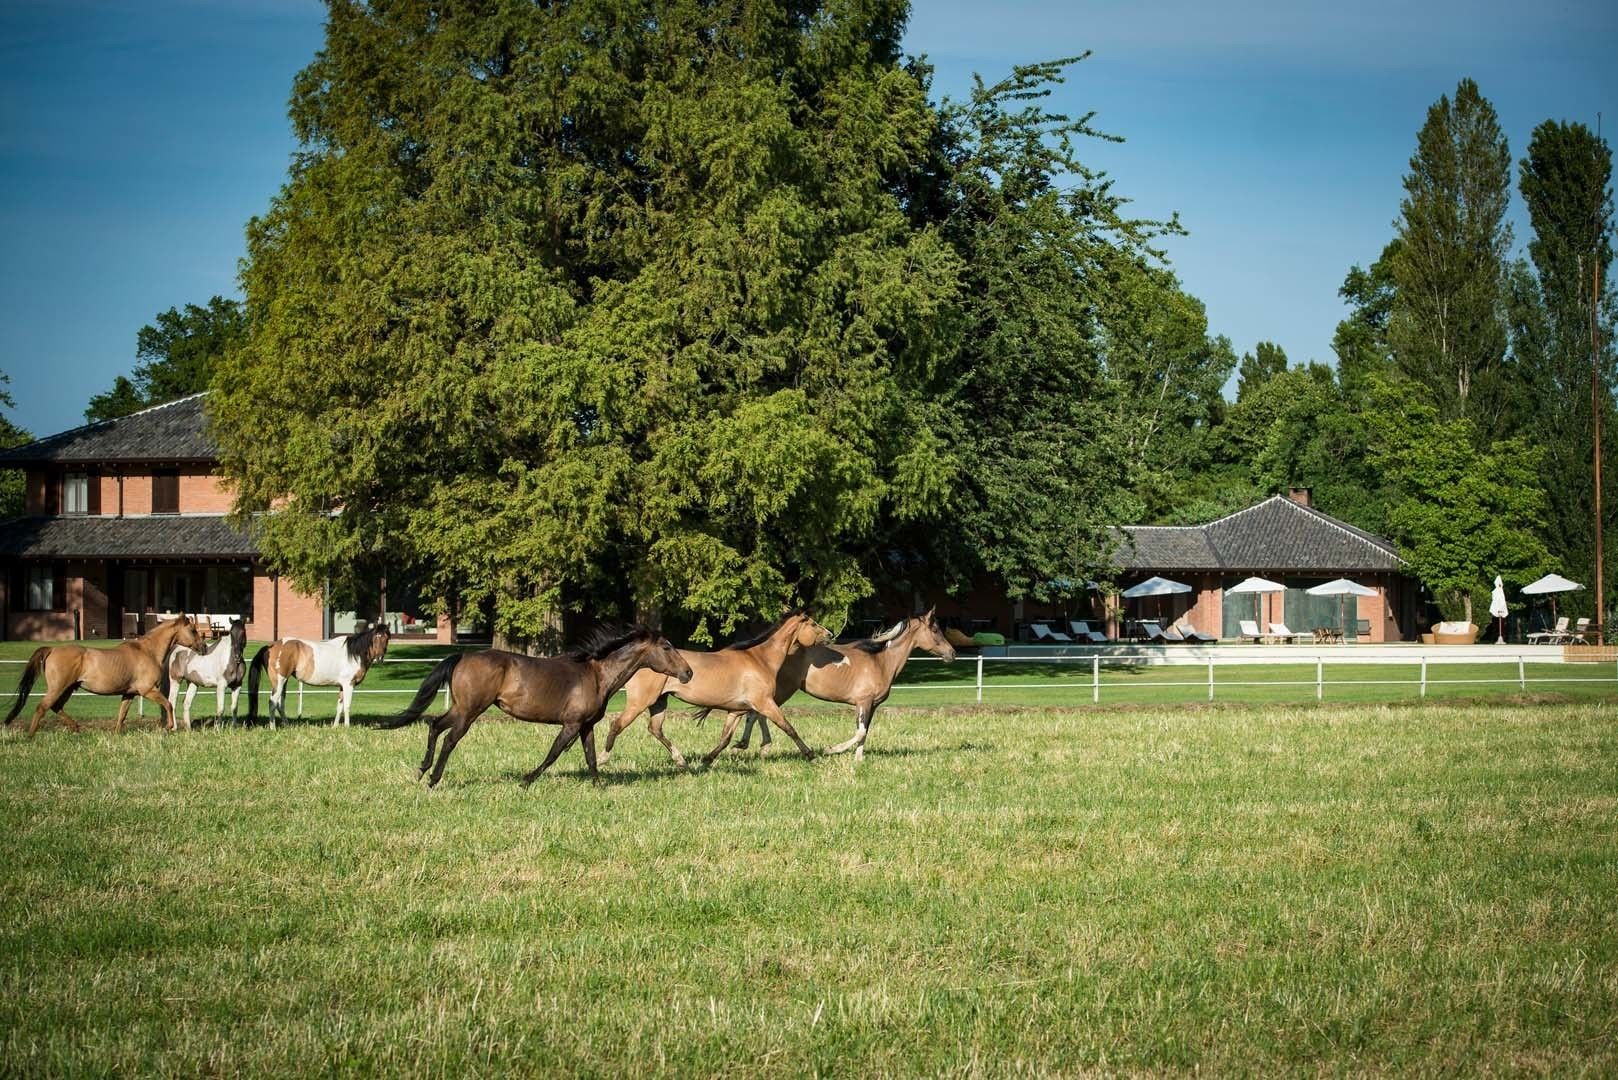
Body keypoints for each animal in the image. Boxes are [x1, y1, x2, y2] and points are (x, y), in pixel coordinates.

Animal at [5, 614, 205, 735]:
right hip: (58, 687)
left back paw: (76, 728)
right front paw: (170, 727)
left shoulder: (129, 693)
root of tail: (52, 649)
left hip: (68, 688)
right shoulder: (147, 690)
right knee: (42, 707)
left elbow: (122, 715)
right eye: (193, 630)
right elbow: (168, 704)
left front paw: (116, 734)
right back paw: (30, 735)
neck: (147, 651)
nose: (203, 647)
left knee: (55, 707)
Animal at [246, 624, 391, 727]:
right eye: (376, 637)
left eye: (387, 638)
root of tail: (270, 646)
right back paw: (273, 728)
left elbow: (339, 706)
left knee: (280, 704)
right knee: (272, 702)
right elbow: (347, 706)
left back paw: (287, 726)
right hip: (279, 681)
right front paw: (347, 727)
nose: (379, 658)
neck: (353, 653)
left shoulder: (342, 686)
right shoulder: (349, 684)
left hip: (284, 682)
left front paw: (335, 727)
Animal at [379, 626, 693, 787]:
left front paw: (598, 785)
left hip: (460, 709)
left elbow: (591, 758)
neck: (596, 675)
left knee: (434, 726)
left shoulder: (586, 726)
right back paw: (433, 779)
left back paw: (421, 771)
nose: (688, 673)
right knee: (449, 740)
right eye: (667, 647)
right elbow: (553, 754)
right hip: (469, 712)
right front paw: (526, 780)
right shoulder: (571, 725)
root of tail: (463, 657)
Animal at [598, 610, 833, 769]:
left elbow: (725, 738)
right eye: (813, 624)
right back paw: (602, 758)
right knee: (616, 725)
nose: (831, 634)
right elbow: (789, 728)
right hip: (640, 702)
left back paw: (681, 760)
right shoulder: (765, 703)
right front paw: (811, 755)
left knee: (655, 729)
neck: (760, 660)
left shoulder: (736, 711)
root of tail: (640, 663)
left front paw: (707, 759)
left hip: (659, 702)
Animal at [729, 609, 956, 762]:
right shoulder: (863, 702)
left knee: (756, 714)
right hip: (783, 690)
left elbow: (864, 732)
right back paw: (756, 746)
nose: (952, 653)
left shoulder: (872, 705)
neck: (881, 662)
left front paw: (858, 759)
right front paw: (831, 750)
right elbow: (860, 732)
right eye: (935, 629)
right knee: (757, 713)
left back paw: (751, 746)